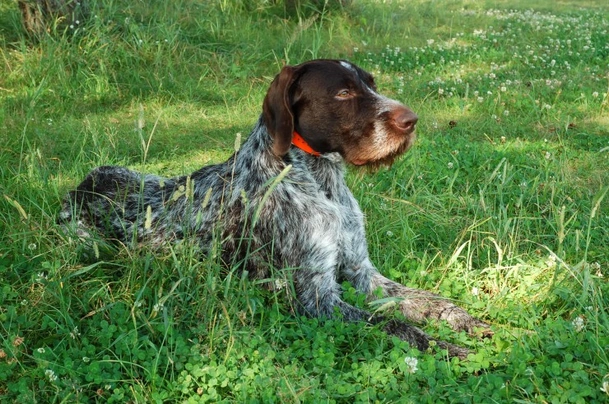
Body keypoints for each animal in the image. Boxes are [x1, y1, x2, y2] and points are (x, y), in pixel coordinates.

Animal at [60, 59, 490, 356]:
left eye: (372, 84)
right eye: (343, 94)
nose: (411, 120)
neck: (322, 183)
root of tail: (80, 186)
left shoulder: (362, 273)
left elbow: (426, 300)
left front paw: (464, 320)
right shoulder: (318, 299)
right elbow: (394, 325)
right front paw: (446, 348)